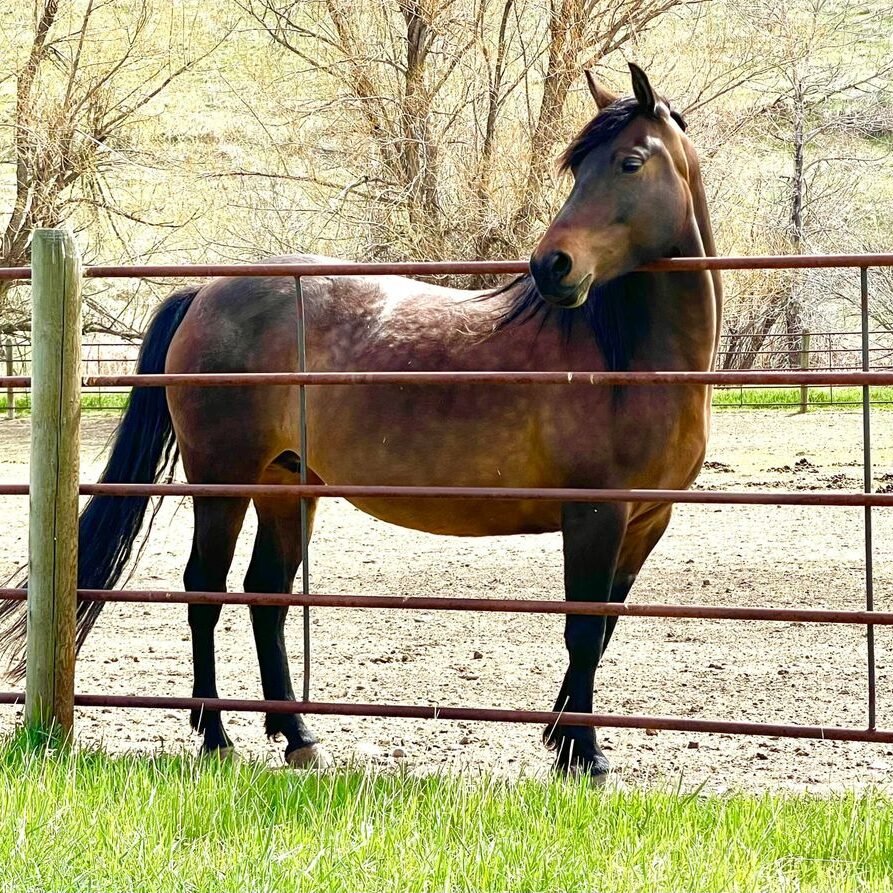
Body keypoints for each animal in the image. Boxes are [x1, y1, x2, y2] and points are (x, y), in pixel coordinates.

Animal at [2, 64, 721, 779]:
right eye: (578, 169)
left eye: (629, 162)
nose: (552, 267)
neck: (624, 357)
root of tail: (204, 292)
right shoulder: (594, 514)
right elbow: (583, 628)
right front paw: (585, 754)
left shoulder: (644, 522)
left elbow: (602, 628)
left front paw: (564, 740)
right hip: (222, 480)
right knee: (204, 588)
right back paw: (216, 737)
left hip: (286, 485)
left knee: (266, 593)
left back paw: (298, 735)